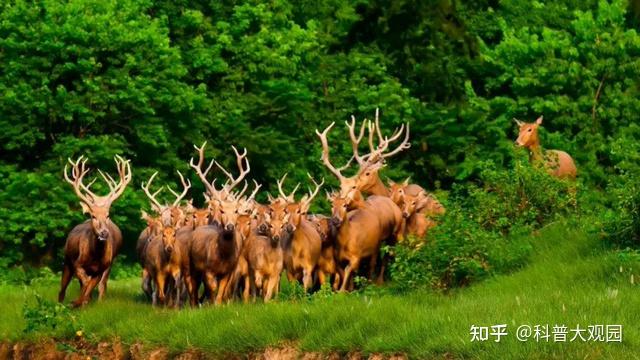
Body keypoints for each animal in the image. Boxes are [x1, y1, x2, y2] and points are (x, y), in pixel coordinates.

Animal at [59, 155, 132, 306]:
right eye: (93, 216)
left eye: (108, 215)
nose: (104, 232)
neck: (95, 256)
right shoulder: (77, 264)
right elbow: (85, 283)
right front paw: (77, 302)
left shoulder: (101, 268)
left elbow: (92, 286)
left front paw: (81, 302)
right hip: (67, 260)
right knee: (62, 289)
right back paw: (62, 303)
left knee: (101, 285)